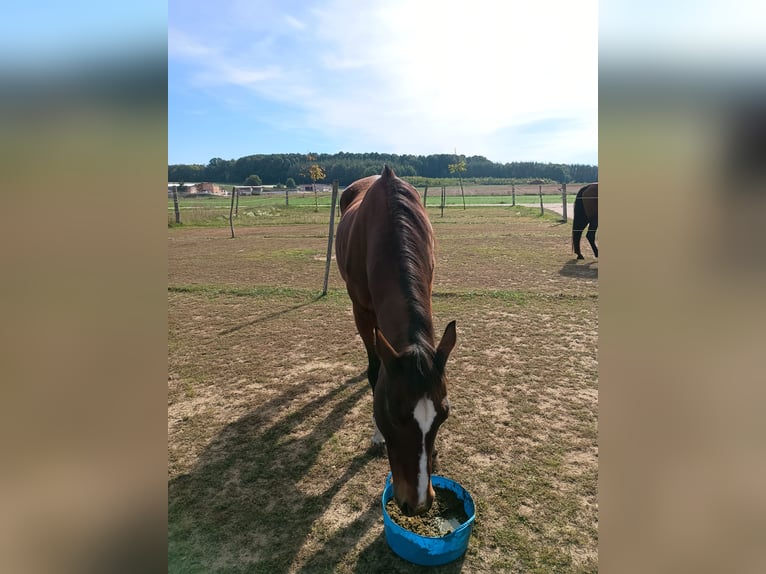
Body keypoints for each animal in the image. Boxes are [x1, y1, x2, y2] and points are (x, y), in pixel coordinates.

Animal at [335, 166, 457, 516]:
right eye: (391, 415)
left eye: (444, 415)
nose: (417, 503)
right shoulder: (362, 311)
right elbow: (376, 371)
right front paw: (377, 437)